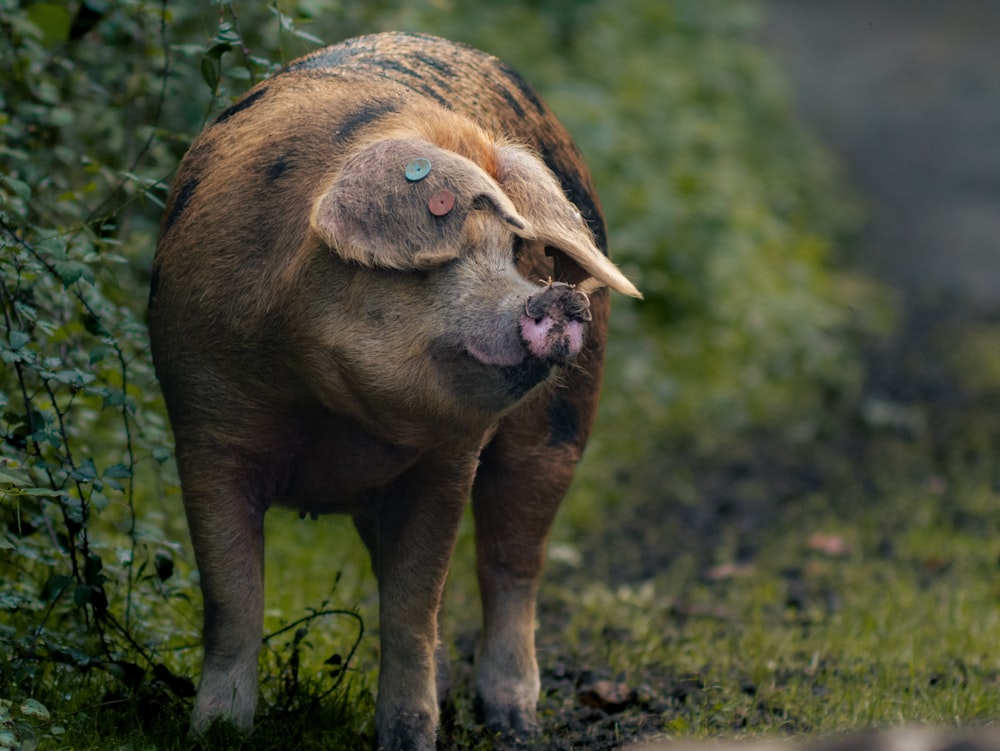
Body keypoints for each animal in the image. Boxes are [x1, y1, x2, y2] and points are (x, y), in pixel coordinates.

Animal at [148, 30, 640, 751]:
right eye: (440, 258)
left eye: (518, 252)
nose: (559, 297)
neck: (323, 407)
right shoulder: (204, 422)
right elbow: (233, 596)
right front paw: (215, 733)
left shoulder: (449, 458)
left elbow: (414, 603)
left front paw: (409, 738)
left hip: (564, 423)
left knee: (513, 562)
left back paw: (515, 720)